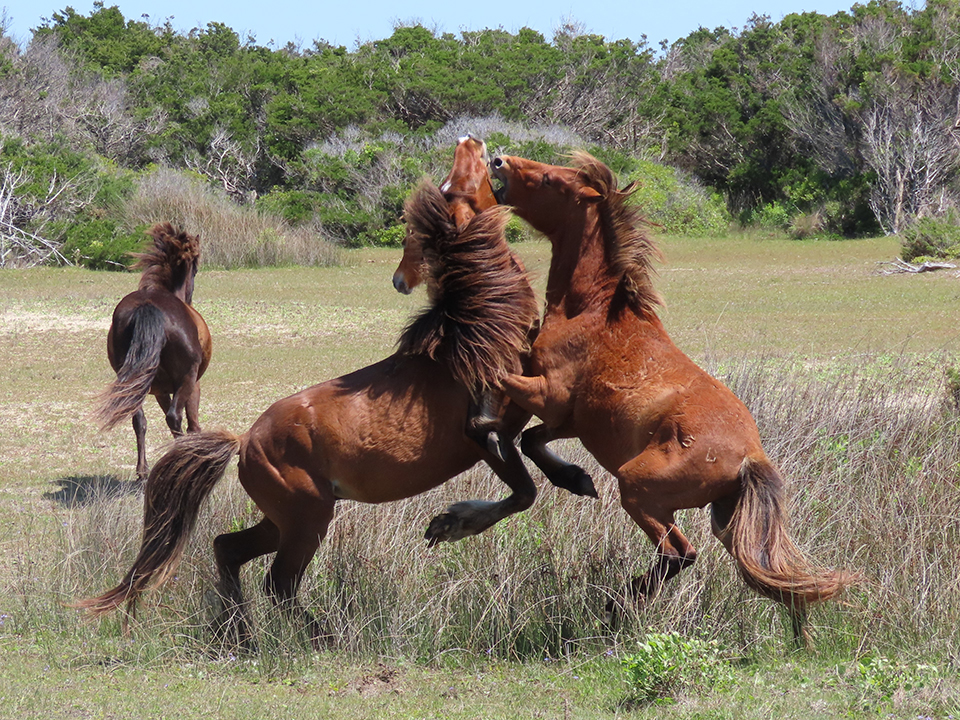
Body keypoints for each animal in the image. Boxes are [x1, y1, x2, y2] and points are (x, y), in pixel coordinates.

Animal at [95, 224, 212, 484]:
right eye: (196, 269)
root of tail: (148, 306)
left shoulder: (159, 390)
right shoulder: (193, 383)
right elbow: (193, 424)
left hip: (134, 382)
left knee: (139, 419)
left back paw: (143, 472)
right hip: (186, 379)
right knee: (175, 419)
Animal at [492, 153, 852, 648]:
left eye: (549, 179)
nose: (497, 161)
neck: (592, 311)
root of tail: (749, 457)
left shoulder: (546, 394)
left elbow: (507, 396)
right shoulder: (570, 420)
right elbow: (531, 441)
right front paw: (575, 479)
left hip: (637, 490)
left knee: (681, 553)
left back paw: (617, 606)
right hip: (728, 522)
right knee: (770, 574)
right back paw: (801, 639)